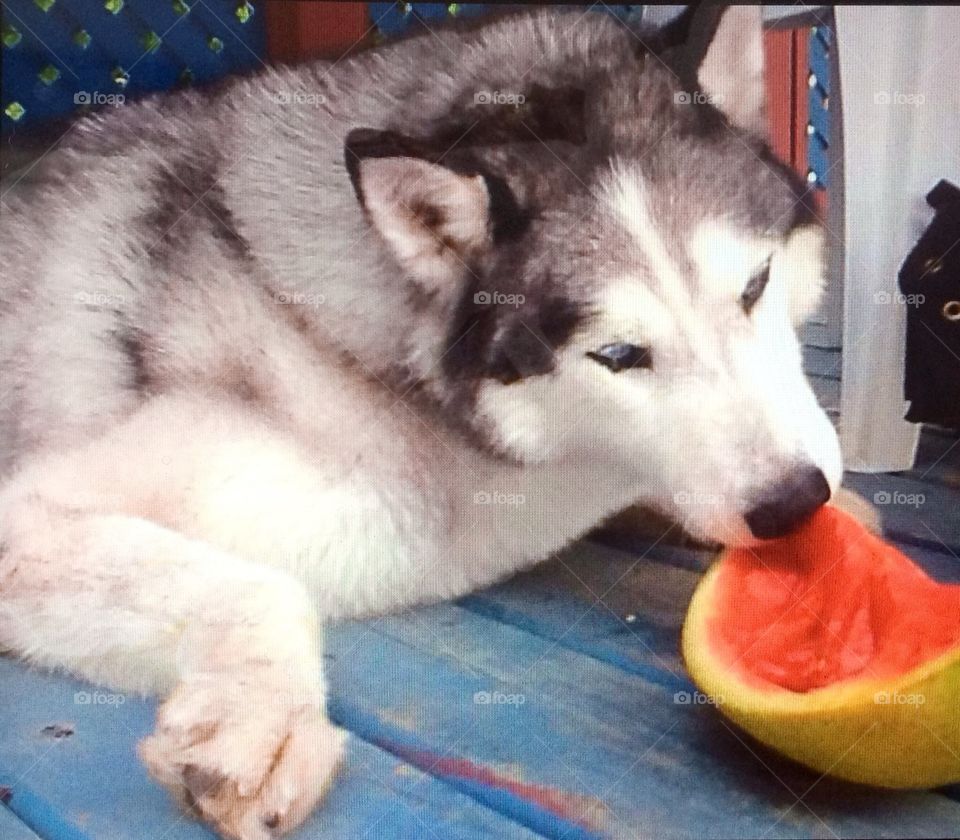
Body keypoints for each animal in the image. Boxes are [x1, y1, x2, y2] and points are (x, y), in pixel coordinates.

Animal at [0, 6, 840, 840]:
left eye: (757, 284)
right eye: (619, 354)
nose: (794, 501)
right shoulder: (32, 509)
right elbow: (264, 589)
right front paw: (261, 719)